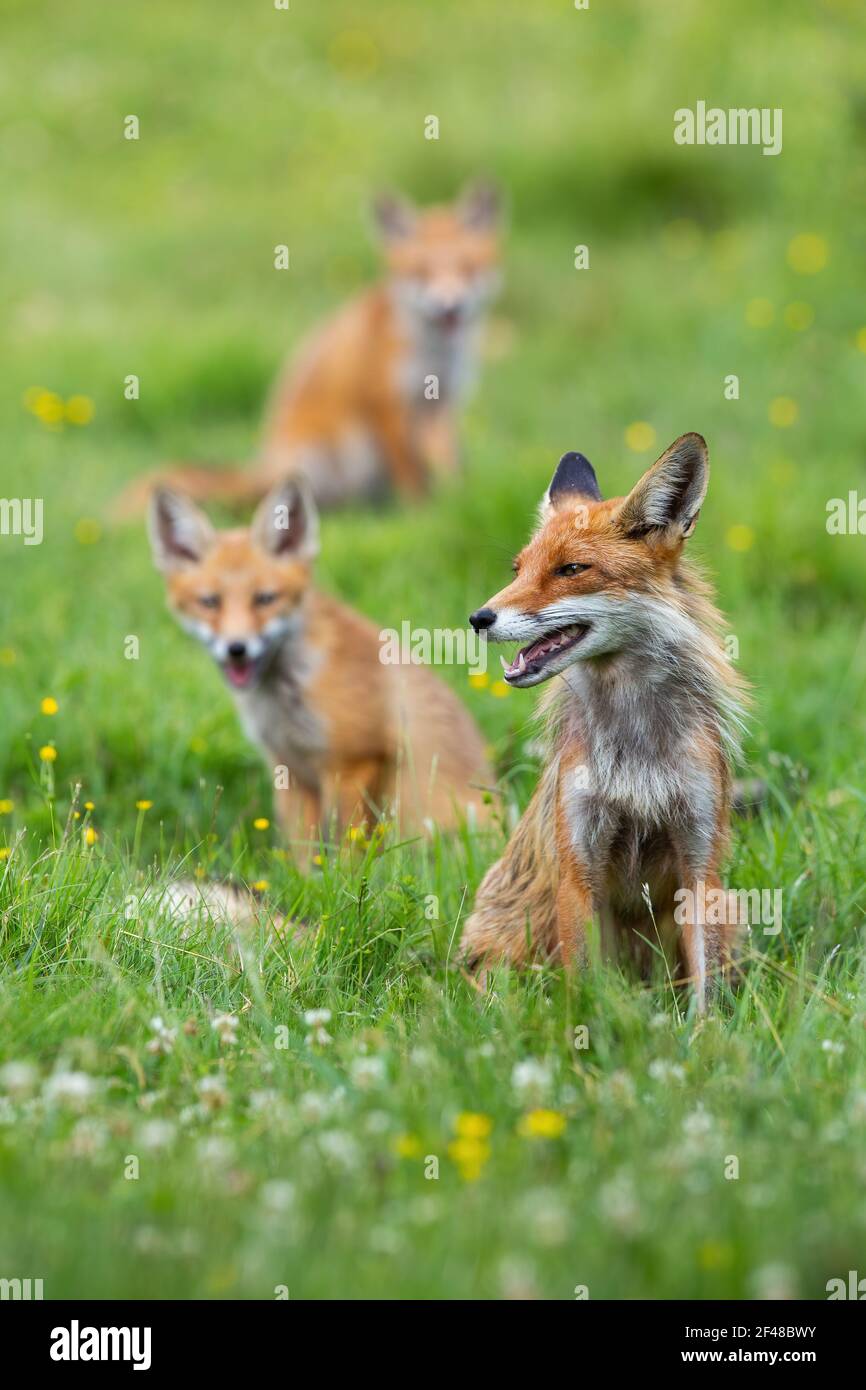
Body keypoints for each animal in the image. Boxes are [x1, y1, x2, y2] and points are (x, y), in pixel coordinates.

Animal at [118, 182, 501, 518]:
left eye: (468, 269)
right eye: (421, 273)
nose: (450, 307)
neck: (434, 353)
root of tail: (264, 464)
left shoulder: (443, 402)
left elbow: (447, 465)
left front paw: (455, 499)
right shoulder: (384, 404)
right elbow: (410, 473)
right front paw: (421, 513)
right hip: (330, 450)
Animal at [148, 479, 493, 857]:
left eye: (265, 599)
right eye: (210, 602)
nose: (236, 648)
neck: (284, 699)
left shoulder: (354, 761)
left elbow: (346, 847)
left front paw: (344, 875)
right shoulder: (289, 769)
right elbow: (302, 850)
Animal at [461, 433, 749, 1010]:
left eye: (571, 569)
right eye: (518, 570)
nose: (479, 618)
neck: (636, 754)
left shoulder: (700, 863)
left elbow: (704, 994)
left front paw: (705, 1034)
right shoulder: (579, 864)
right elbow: (584, 984)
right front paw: (585, 1028)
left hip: (732, 909)